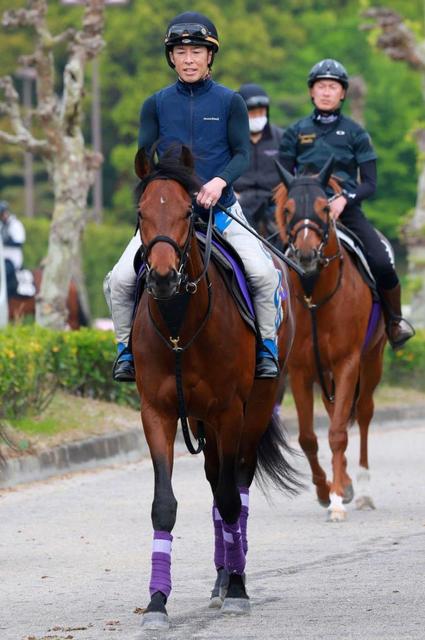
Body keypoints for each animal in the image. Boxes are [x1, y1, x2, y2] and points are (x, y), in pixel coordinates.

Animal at [131, 146, 300, 632]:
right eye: (141, 212)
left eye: (189, 211)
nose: (162, 277)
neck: (178, 325)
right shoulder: (157, 411)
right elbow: (164, 505)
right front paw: (157, 603)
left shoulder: (229, 411)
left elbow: (229, 499)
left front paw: (240, 591)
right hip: (202, 417)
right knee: (213, 480)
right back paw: (222, 577)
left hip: (256, 408)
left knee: (237, 484)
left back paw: (234, 577)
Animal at [274, 158, 386, 524]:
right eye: (288, 208)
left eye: (325, 207)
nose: (307, 254)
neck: (314, 295)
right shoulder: (300, 370)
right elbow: (308, 437)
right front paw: (327, 491)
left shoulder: (347, 362)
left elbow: (337, 432)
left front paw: (337, 500)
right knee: (333, 409)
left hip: (372, 360)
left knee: (362, 415)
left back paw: (362, 490)